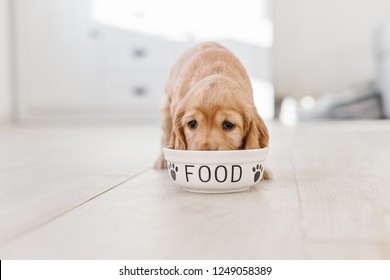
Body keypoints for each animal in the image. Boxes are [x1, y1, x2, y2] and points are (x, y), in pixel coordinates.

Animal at [153, 42, 272, 178]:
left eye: (228, 124)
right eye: (192, 123)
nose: (205, 153)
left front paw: (263, 171)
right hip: (165, 110)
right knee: (165, 136)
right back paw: (161, 160)